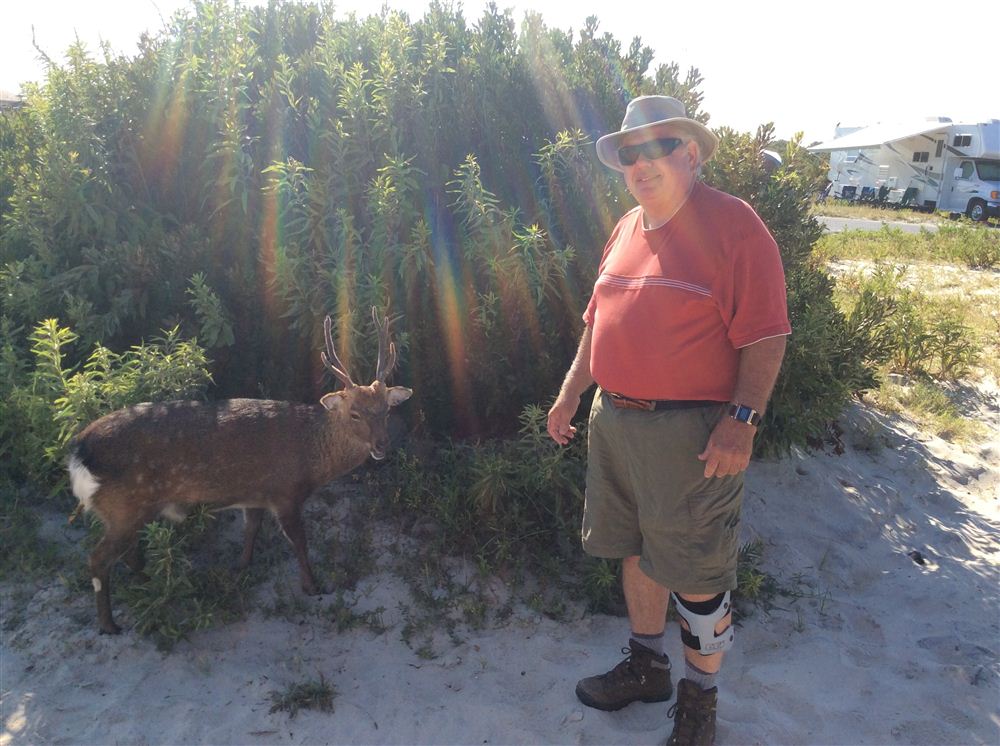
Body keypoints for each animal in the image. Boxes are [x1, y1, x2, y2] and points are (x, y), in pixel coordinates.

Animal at [67, 308, 410, 632]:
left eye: (386, 409)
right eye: (354, 413)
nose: (382, 445)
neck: (311, 459)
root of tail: (79, 452)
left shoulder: (255, 494)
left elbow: (251, 529)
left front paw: (241, 566)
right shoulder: (285, 492)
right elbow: (299, 541)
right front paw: (312, 586)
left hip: (128, 511)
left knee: (127, 553)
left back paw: (147, 585)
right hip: (124, 506)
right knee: (98, 559)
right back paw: (110, 624)